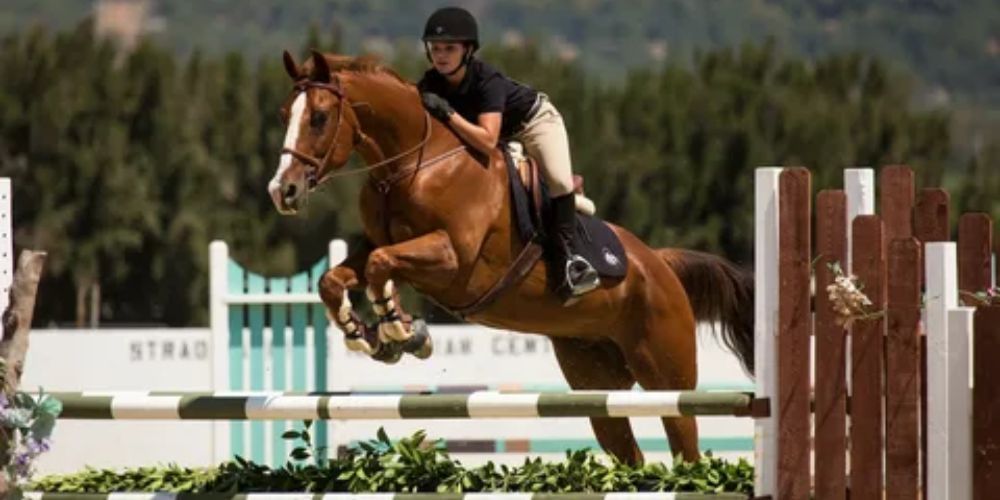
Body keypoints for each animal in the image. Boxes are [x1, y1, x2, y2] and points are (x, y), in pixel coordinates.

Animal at [268, 50, 755, 465]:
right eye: (284, 116)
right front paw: (369, 335)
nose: (283, 191)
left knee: (685, 444)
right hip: (596, 381)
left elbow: (380, 266)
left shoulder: (453, 258)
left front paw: (400, 330)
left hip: (667, 376)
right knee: (626, 451)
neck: (414, 165)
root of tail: (659, 264)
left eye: (319, 117)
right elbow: (338, 278)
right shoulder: (380, 244)